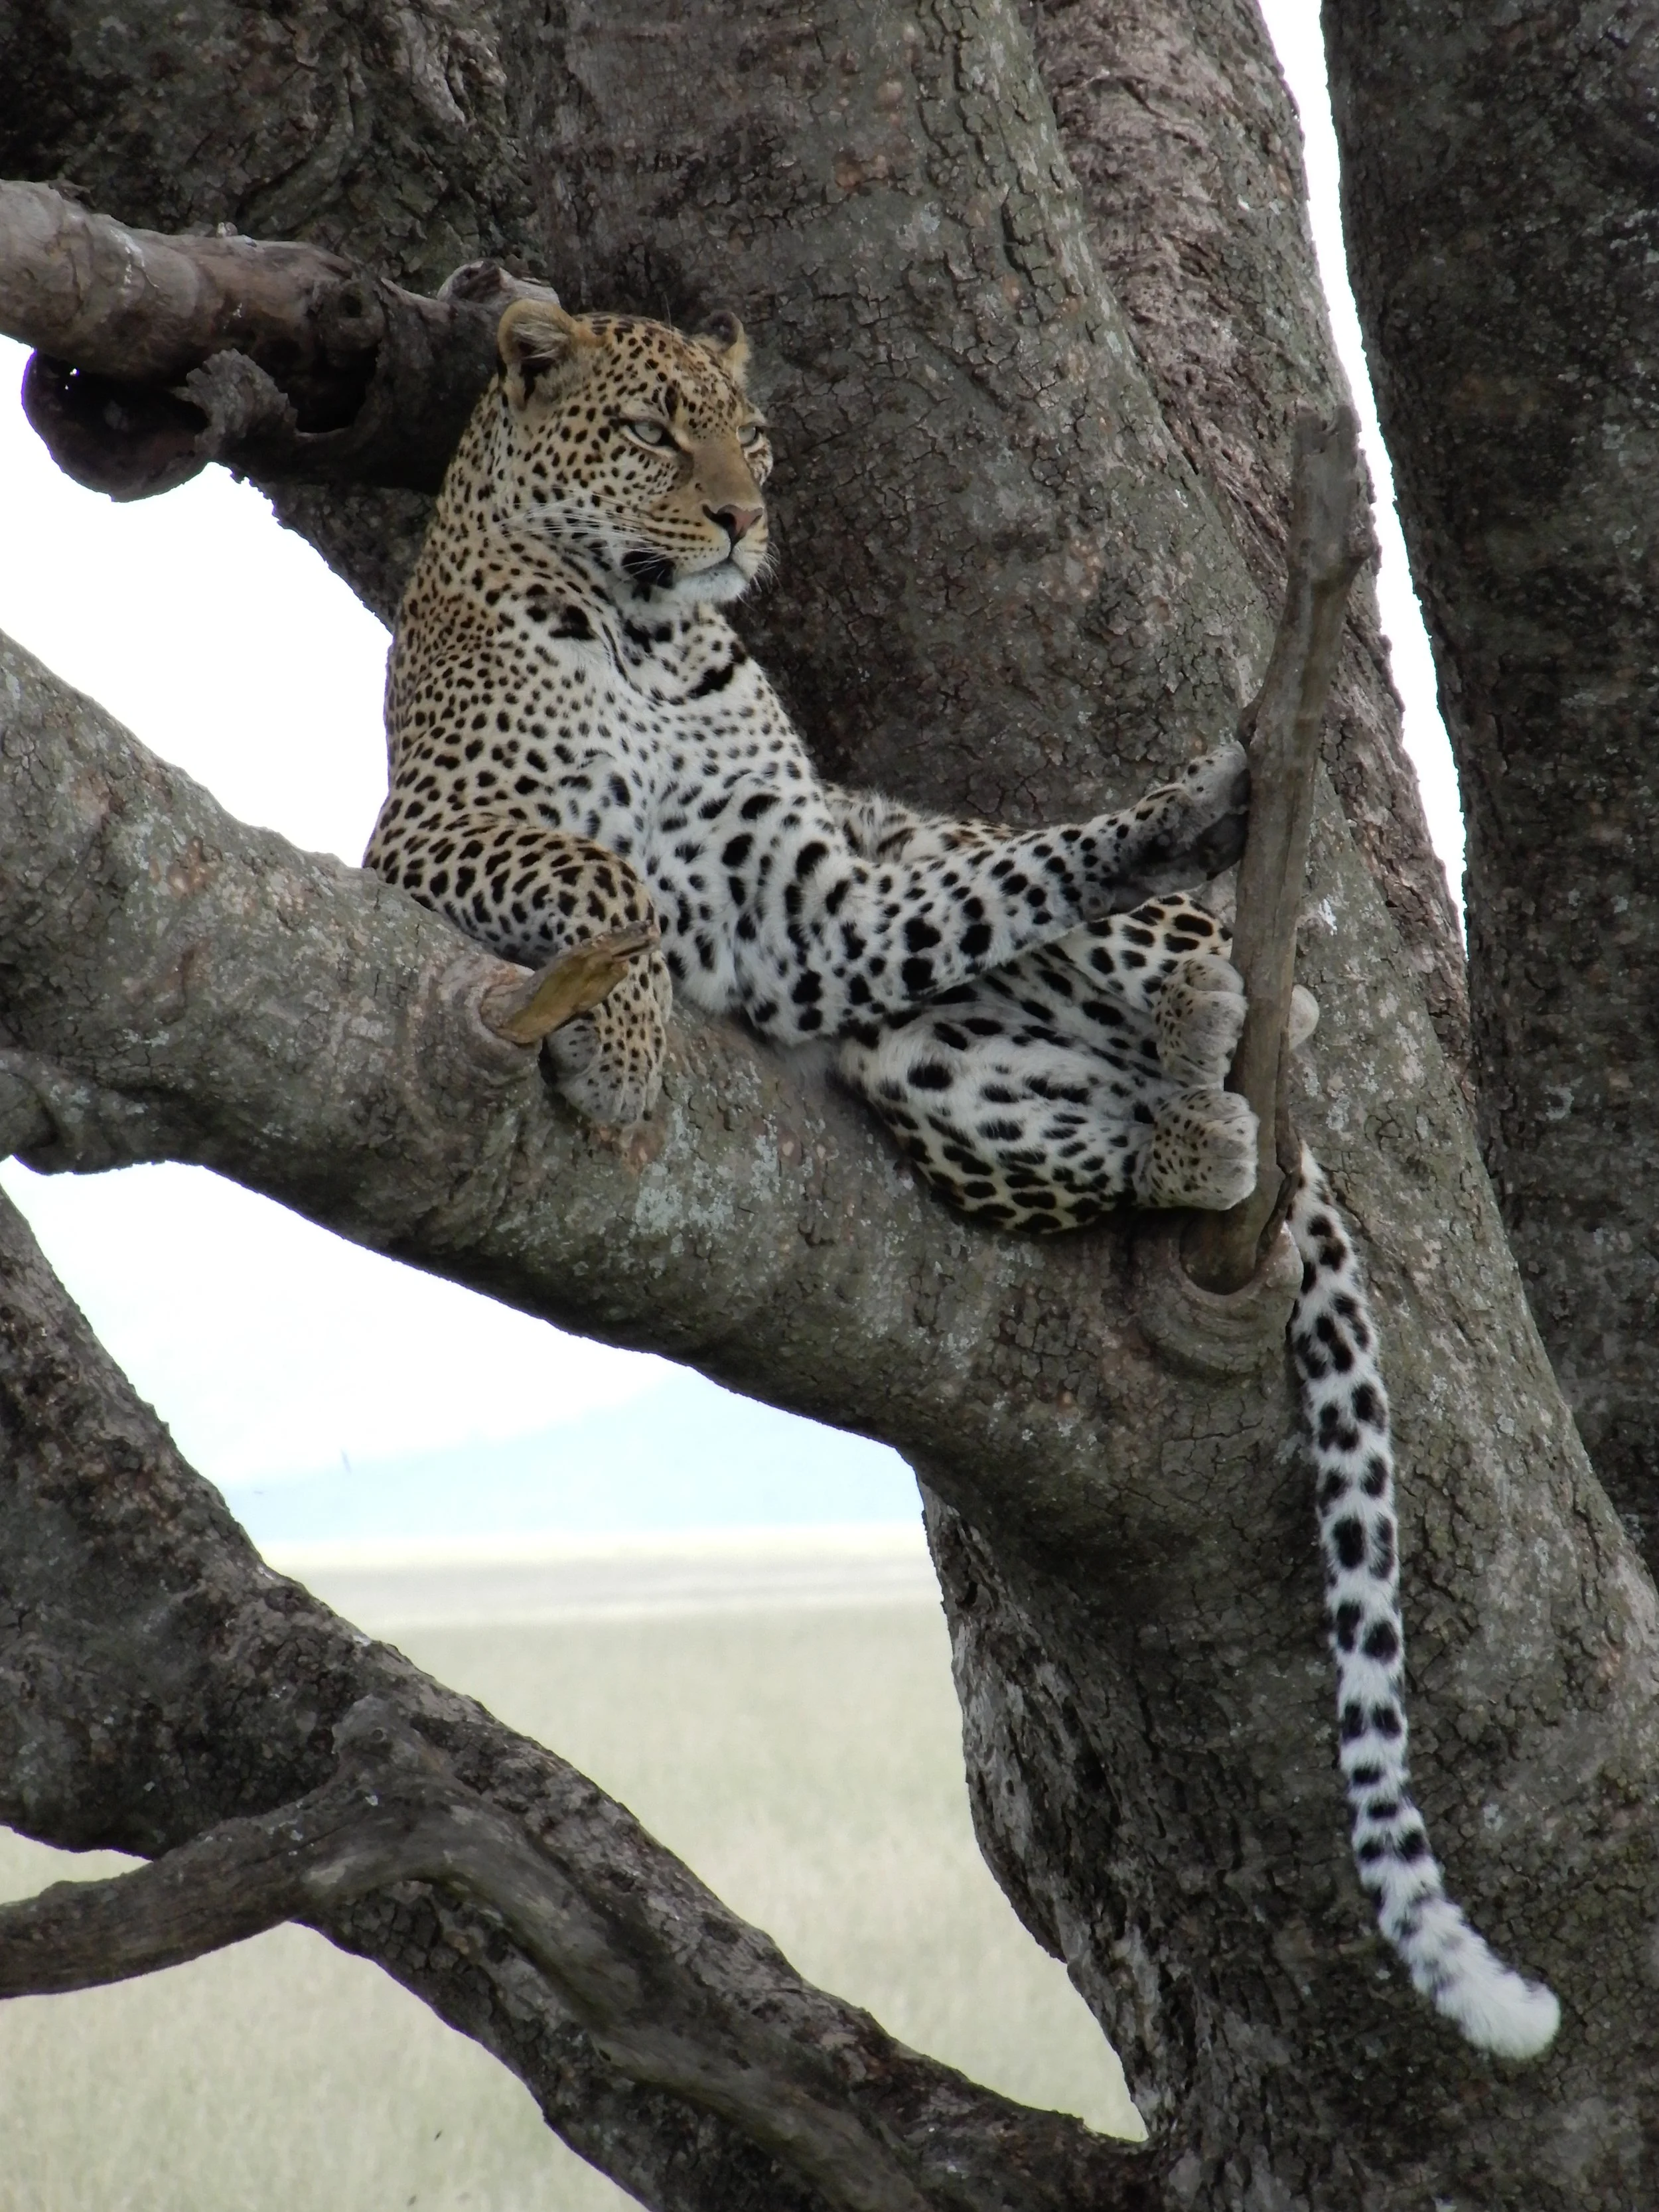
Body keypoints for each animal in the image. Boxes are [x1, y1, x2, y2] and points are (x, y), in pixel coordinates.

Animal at [365, 296, 1557, 2059]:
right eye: (652, 432)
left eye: (749, 436)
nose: (743, 523)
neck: (644, 636)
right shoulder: (442, 833)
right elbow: (608, 885)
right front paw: (630, 1051)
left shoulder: (804, 890)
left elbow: (1024, 864)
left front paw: (1203, 798)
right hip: (911, 1062)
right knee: (1094, 1138)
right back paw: (1191, 1110)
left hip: (914, 869)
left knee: (1083, 927)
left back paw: (1219, 998)